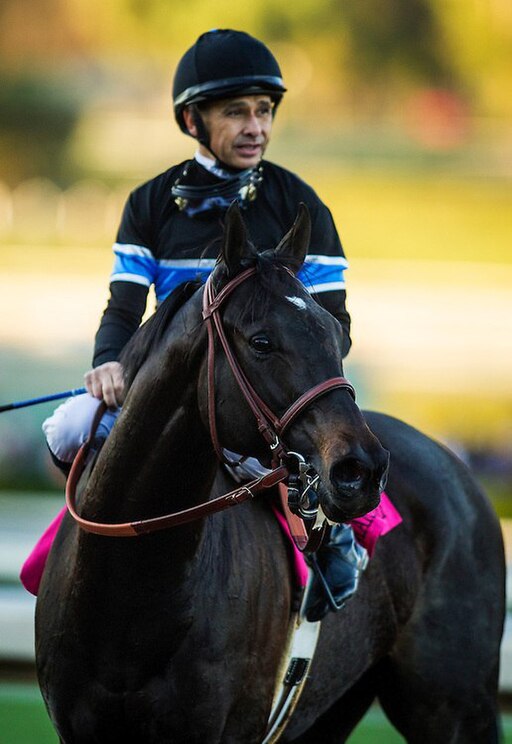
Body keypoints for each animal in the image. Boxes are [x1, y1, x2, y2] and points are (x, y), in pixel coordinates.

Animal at [35, 205, 504, 744]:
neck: (129, 593)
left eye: (336, 334)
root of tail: (459, 470)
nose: (361, 470)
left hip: (452, 705)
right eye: (261, 341)